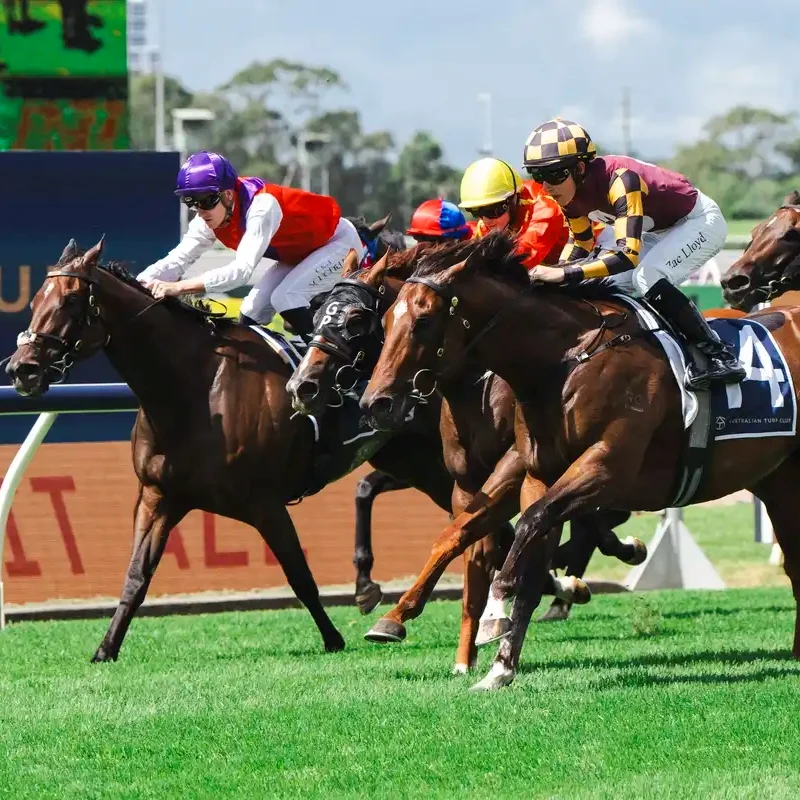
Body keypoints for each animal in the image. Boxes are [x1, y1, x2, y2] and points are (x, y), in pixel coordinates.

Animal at [4, 237, 462, 662]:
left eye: (70, 300)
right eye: (36, 300)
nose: (22, 369)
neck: (193, 389)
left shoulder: (264, 502)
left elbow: (299, 575)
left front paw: (333, 639)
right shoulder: (158, 496)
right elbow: (136, 576)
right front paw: (106, 649)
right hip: (413, 460)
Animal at [286, 246, 645, 650]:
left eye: (357, 319)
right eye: (317, 313)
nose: (302, 386)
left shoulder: (500, 466)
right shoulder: (436, 472)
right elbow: (384, 497)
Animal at [359, 231, 800, 690]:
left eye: (424, 321)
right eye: (385, 322)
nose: (375, 403)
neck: (564, 360)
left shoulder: (604, 468)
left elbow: (528, 525)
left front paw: (496, 611)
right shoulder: (533, 474)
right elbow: (504, 548)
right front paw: (496, 668)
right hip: (778, 479)